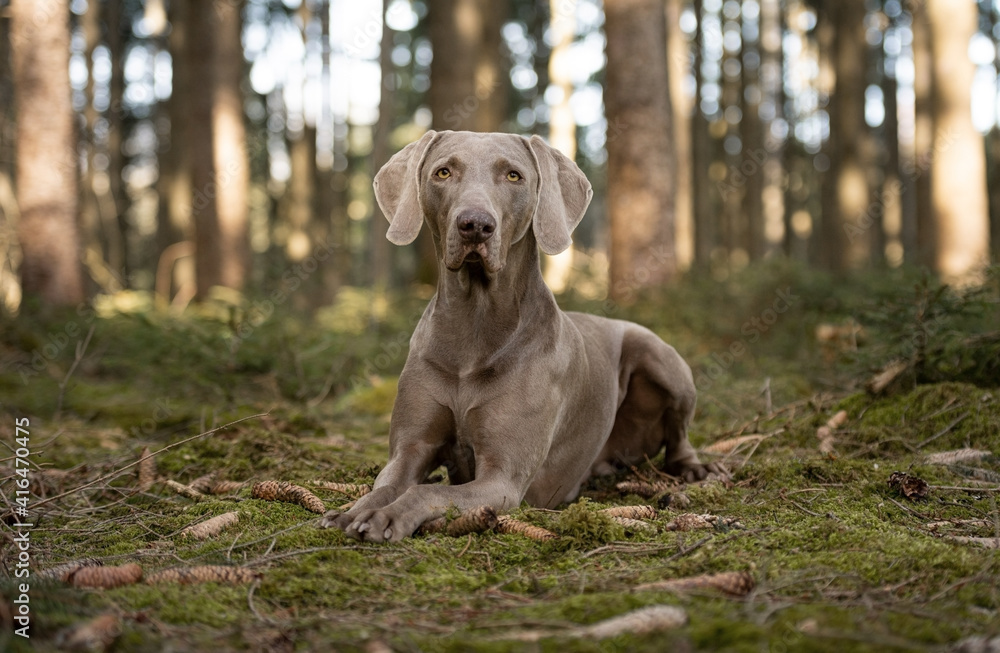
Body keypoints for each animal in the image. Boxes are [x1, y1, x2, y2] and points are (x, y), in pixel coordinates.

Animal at [324, 130, 724, 544]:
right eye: (443, 172)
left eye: (513, 175)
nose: (475, 224)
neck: (474, 325)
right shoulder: (409, 449)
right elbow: (387, 484)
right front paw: (353, 511)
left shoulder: (503, 479)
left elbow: (426, 490)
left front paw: (386, 517)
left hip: (660, 357)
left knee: (680, 438)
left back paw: (697, 470)